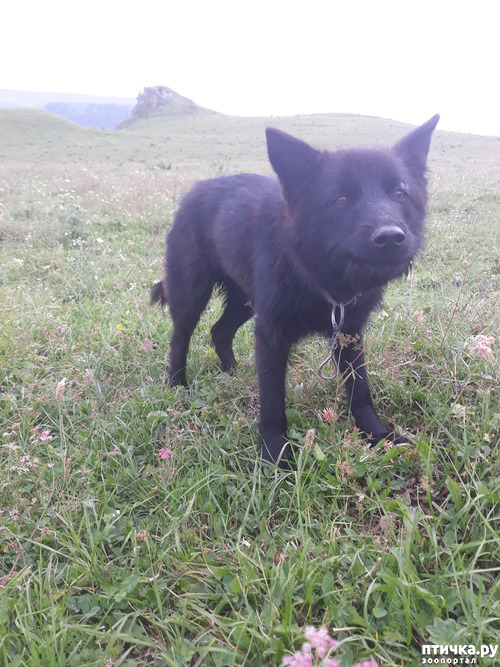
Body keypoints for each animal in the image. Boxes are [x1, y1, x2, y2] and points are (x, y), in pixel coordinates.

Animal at [152, 115, 439, 467]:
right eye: (340, 199)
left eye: (400, 194)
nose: (390, 238)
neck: (318, 276)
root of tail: (195, 190)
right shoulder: (271, 334)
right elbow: (272, 400)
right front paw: (274, 452)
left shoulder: (348, 333)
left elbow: (360, 390)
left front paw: (377, 434)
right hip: (191, 293)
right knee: (180, 338)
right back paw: (176, 384)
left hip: (245, 301)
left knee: (220, 330)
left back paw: (232, 372)